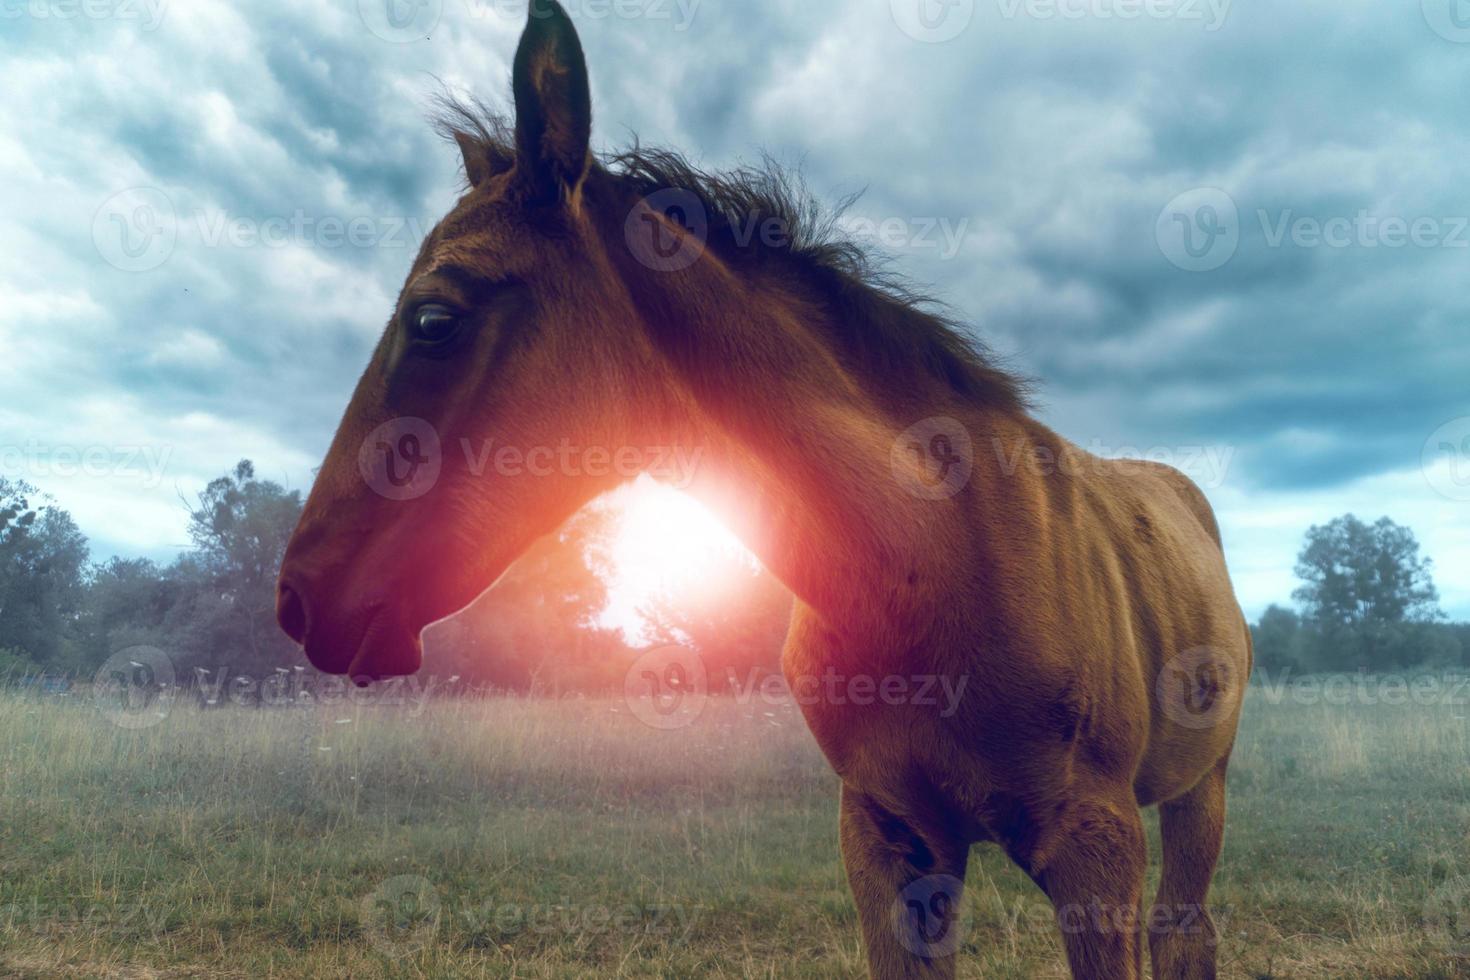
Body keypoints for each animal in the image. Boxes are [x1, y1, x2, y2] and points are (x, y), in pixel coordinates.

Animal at [277, 3, 1252, 975]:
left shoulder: (1096, 846)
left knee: (1186, 932)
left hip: (1201, 787)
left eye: (433, 318)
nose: (298, 599)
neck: (937, 562)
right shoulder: (888, 839)